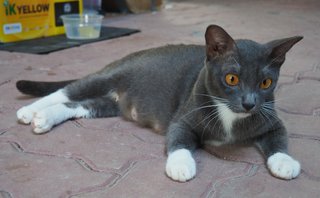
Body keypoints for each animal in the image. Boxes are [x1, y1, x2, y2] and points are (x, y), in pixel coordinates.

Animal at [16, 25, 302, 183]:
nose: (249, 103)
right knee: (67, 91)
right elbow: (179, 140)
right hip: (108, 77)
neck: (231, 118)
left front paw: (285, 162)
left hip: (109, 104)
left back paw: (44, 118)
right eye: (232, 78)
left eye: (266, 83)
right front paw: (181, 165)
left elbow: (279, 138)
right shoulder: (183, 118)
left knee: (80, 105)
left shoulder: (271, 119)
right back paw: (29, 111)